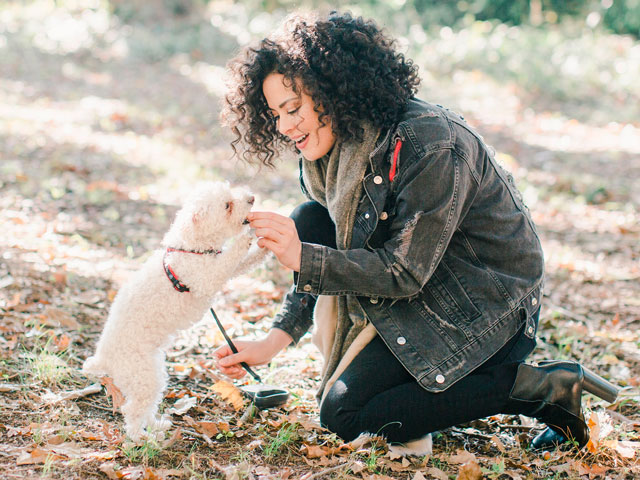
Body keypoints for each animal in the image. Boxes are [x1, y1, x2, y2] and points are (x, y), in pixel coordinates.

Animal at [83, 182, 268, 440]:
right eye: (227, 205)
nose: (251, 198)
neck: (191, 248)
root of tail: (103, 359)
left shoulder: (223, 268)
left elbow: (246, 261)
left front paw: (266, 247)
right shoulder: (207, 276)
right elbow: (234, 254)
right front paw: (249, 235)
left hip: (152, 373)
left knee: (147, 406)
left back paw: (157, 426)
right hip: (142, 375)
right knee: (132, 411)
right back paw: (142, 438)